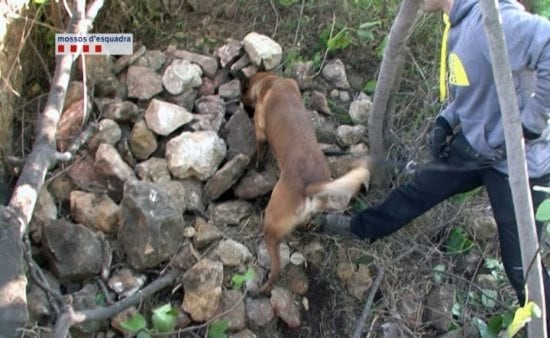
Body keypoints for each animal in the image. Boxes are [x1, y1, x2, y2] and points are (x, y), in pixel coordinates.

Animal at [245, 72, 370, 294]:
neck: (272, 82)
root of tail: (310, 185)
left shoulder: (260, 131)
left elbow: (260, 152)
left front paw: (258, 167)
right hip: (308, 211)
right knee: (304, 222)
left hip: (270, 226)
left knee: (276, 268)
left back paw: (263, 289)